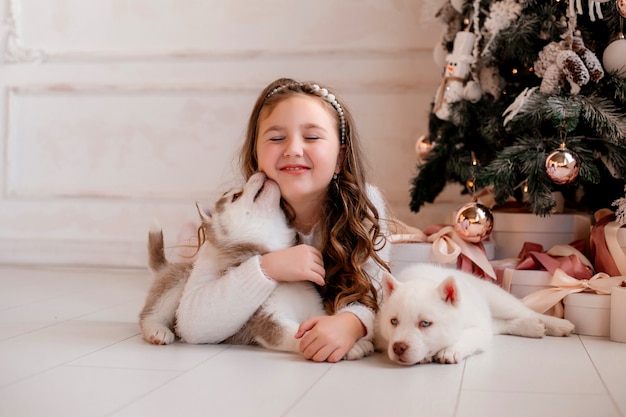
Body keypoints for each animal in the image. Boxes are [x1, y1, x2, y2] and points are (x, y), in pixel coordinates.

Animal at [372, 264, 572, 364]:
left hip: (499, 300)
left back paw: (559, 324)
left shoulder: (479, 327)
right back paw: (531, 327)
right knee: (502, 324)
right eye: (393, 321)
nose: (398, 347)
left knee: (524, 310)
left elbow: (467, 335)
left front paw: (450, 350)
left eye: (425, 323)